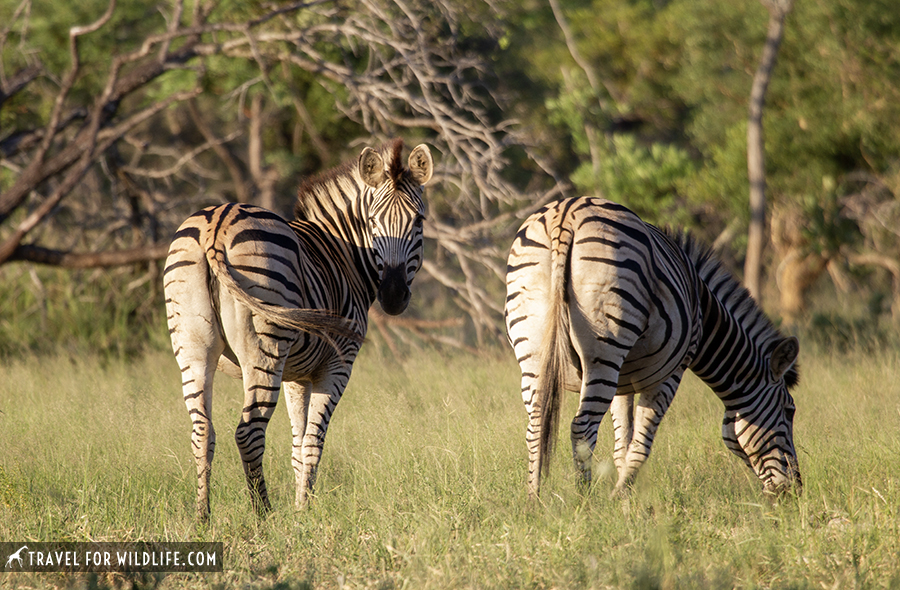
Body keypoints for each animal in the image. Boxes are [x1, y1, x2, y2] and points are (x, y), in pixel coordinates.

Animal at [163, 139, 434, 520]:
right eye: (372, 221)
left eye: (418, 221)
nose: (393, 296)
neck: (344, 253)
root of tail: (217, 223)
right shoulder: (336, 365)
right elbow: (312, 443)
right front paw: (306, 511)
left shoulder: (296, 376)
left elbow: (296, 443)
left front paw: (300, 504)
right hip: (266, 346)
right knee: (248, 431)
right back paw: (264, 515)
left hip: (191, 344)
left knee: (202, 431)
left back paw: (202, 516)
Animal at [506, 198, 800, 500]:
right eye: (789, 411)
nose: (795, 490)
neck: (704, 314)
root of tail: (566, 214)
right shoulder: (671, 372)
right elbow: (640, 445)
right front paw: (620, 497)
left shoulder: (623, 381)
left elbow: (623, 444)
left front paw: (625, 496)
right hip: (605, 350)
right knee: (582, 428)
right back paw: (583, 500)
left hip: (533, 348)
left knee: (536, 426)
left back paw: (534, 499)